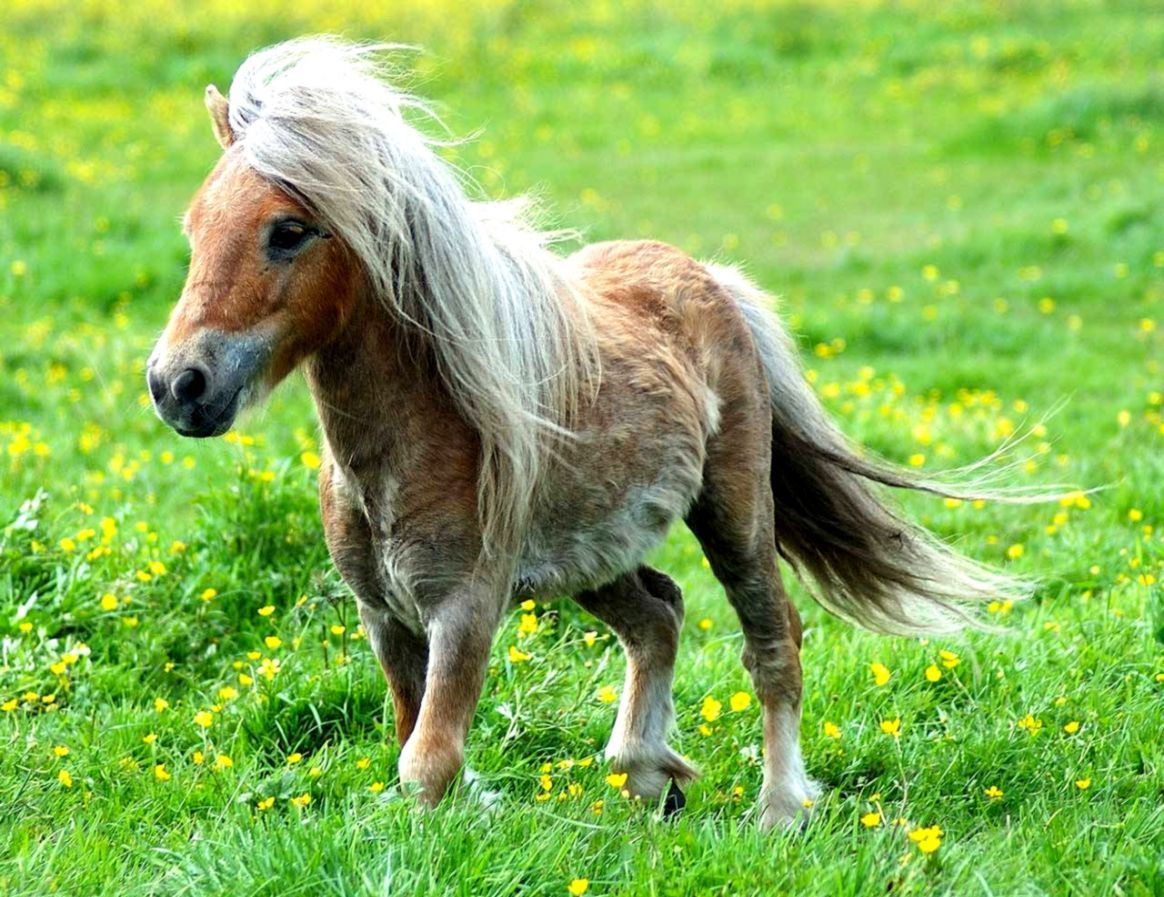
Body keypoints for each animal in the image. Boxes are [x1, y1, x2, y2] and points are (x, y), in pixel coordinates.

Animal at [147, 38, 1030, 830]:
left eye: (289, 230)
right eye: (193, 225)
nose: (178, 385)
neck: (410, 444)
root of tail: (712, 279)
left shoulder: (465, 608)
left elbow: (427, 760)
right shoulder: (384, 616)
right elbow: (413, 742)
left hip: (734, 514)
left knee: (772, 639)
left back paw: (779, 809)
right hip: (592, 555)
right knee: (660, 613)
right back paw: (648, 776)